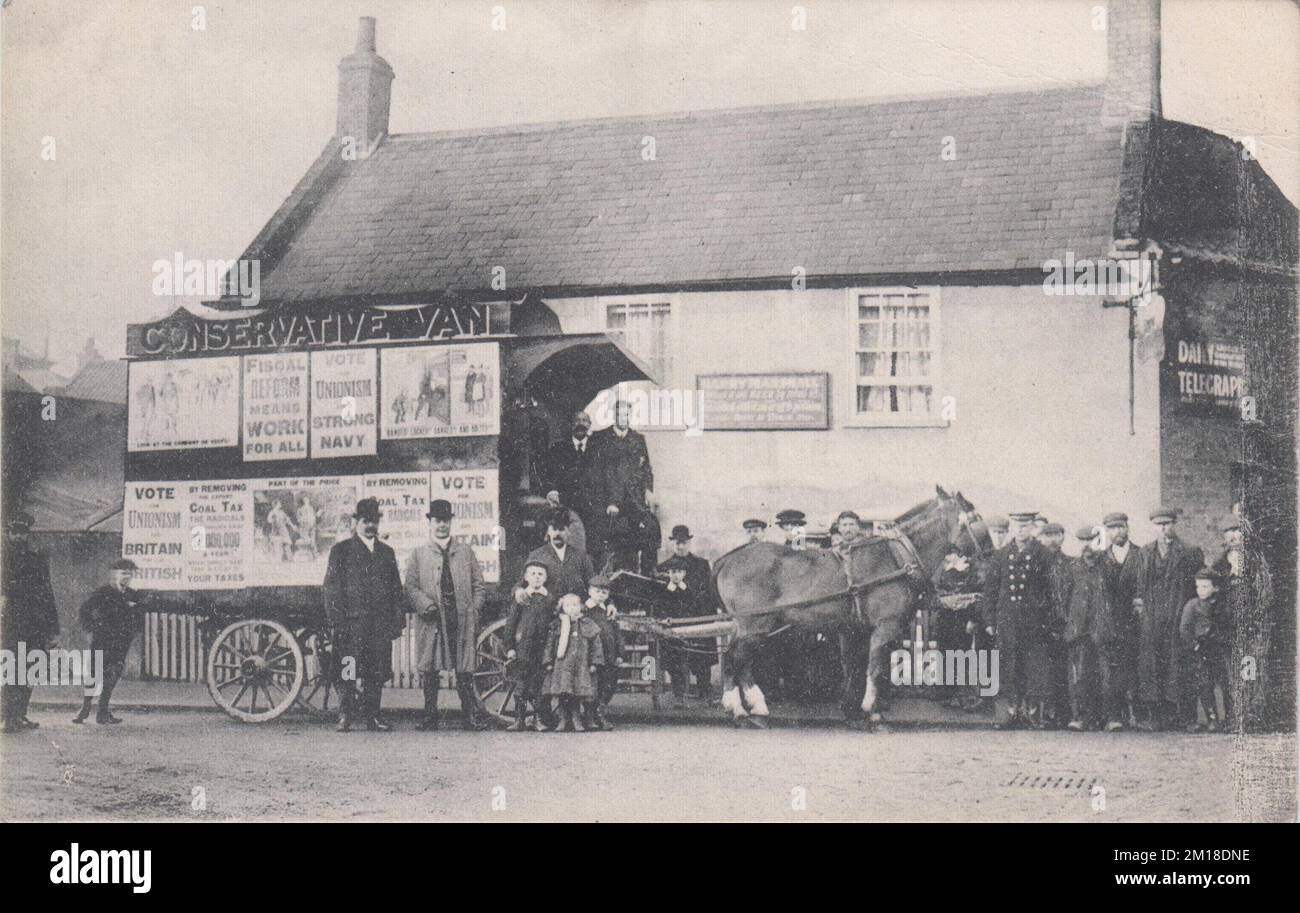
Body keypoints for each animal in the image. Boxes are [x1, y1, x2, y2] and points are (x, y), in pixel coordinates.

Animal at [702, 486, 993, 728]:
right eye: (976, 518)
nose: (989, 556)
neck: (896, 557)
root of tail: (728, 559)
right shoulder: (886, 626)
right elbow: (874, 668)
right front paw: (872, 711)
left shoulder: (856, 629)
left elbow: (855, 666)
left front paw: (854, 709)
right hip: (754, 624)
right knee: (733, 659)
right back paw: (738, 709)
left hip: (750, 626)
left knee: (740, 661)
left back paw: (754, 707)